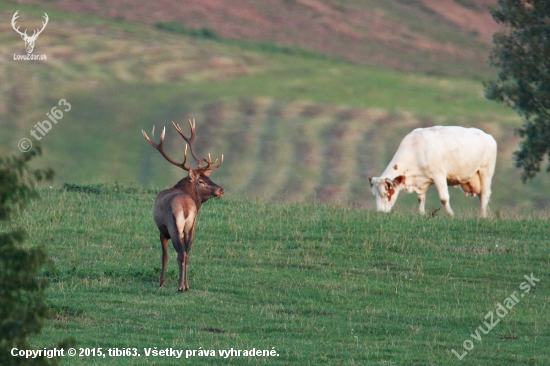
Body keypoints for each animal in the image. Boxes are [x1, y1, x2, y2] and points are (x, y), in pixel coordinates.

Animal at [370, 126, 500, 217]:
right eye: (374, 195)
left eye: (385, 194)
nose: (380, 212)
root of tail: (489, 136)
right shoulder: (421, 181)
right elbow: (421, 198)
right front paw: (421, 213)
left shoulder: (439, 175)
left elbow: (444, 198)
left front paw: (450, 214)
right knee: (480, 196)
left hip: (485, 172)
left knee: (484, 195)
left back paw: (483, 216)